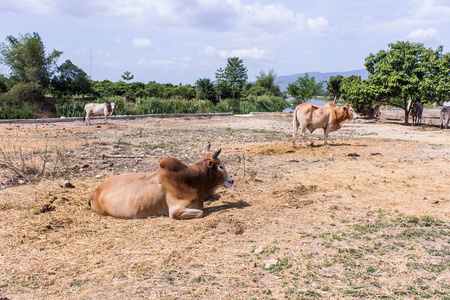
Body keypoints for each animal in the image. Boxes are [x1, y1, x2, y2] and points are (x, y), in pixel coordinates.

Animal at [89, 144, 236, 219]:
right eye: (221, 166)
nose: (231, 181)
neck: (193, 181)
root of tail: (95, 191)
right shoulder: (176, 210)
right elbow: (201, 212)